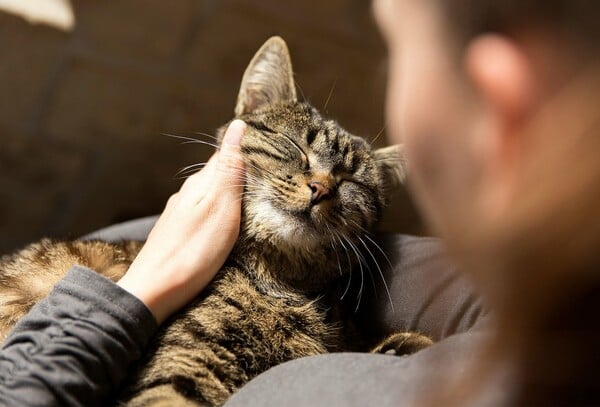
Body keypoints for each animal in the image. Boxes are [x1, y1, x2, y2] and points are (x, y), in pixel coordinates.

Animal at [0, 36, 432, 406]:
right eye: (295, 146)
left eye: (352, 182)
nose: (321, 188)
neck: (281, 282)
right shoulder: (183, 365)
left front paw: (401, 348)